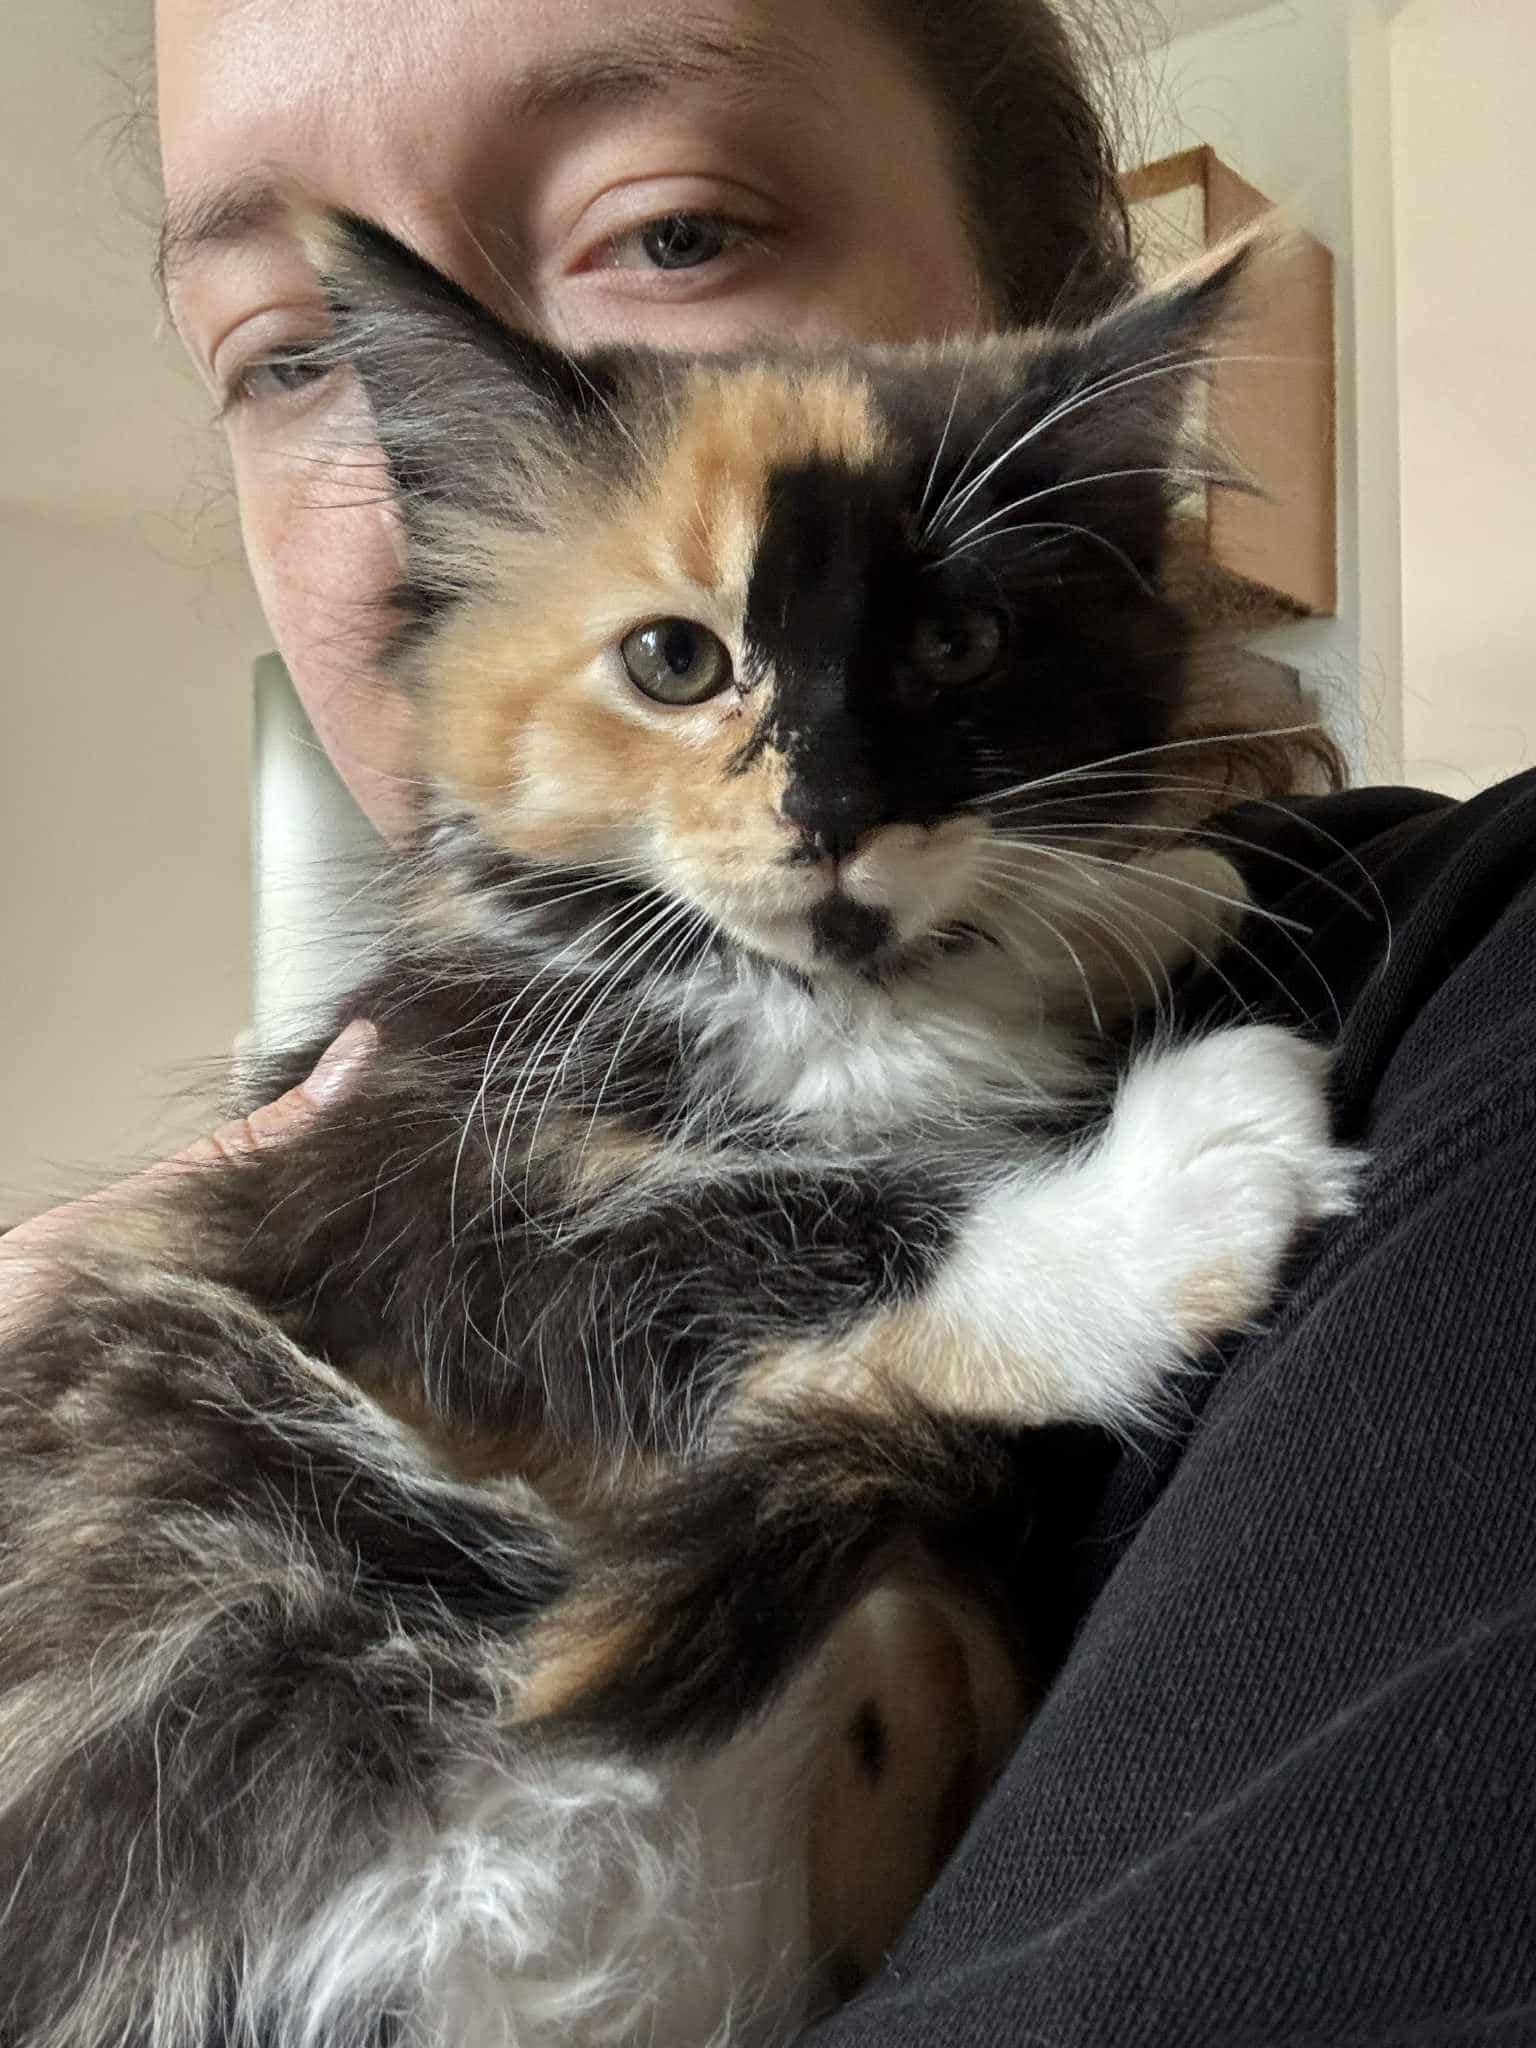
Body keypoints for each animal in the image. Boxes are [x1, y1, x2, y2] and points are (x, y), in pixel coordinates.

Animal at [0, 213, 1358, 2047]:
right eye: (676, 661)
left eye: (958, 648)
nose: (835, 809)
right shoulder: (441, 1209)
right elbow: (767, 1239)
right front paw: (1180, 1166)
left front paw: (1134, 893)